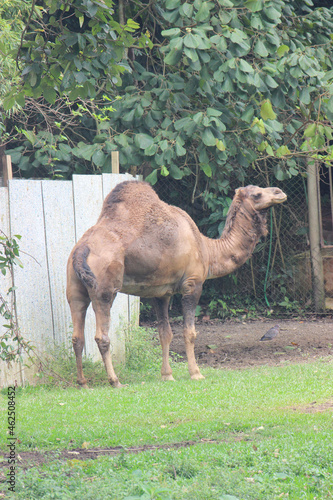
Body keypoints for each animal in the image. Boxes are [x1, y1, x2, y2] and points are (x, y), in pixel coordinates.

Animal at [65, 180, 286, 386]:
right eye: (257, 194)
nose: (279, 192)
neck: (207, 249)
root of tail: (81, 248)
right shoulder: (193, 284)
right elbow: (189, 332)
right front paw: (196, 373)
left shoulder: (160, 293)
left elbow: (165, 333)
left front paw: (167, 375)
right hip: (104, 288)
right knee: (101, 335)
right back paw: (115, 381)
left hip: (74, 287)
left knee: (77, 335)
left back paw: (82, 382)